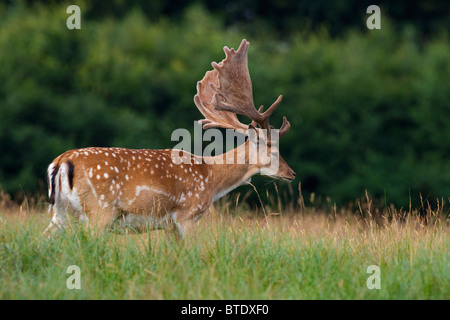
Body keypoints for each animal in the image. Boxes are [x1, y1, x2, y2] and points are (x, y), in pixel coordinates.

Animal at [44, 39, 294, 238]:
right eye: (273, 149)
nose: (291, 173)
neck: (212, 179)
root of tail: (61, 162)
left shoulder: (169, 226)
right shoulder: (187, 215)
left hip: (61, 212)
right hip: (100, 210)